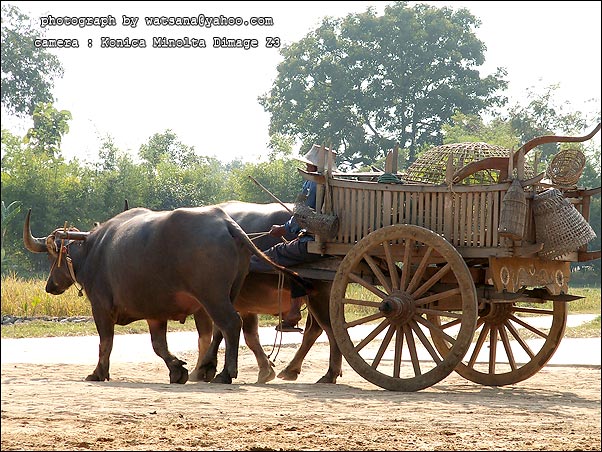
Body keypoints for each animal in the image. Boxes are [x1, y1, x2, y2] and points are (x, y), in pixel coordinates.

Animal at [22, 205, 304, 384]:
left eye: (52, 258)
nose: (49, 286)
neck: (93, 249)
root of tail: (227, 223)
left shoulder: (100, 307)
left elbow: (105, 342)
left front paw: (98, 373)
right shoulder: (154, 313)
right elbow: (159, 345)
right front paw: (177, 370)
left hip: (212, 296)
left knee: (231, 324)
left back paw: (225, 373)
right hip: (226, 294)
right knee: (223, 329)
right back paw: (210, 369)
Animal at [189, 201, 342, 384]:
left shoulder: (210, 303)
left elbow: (210, 335)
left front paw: (202, 370)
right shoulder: (243, 305)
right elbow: (249, 336)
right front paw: (266, 369)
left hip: (319, 294)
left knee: (331, 329)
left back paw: (330, 373)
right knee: (315, 329)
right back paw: (291, 368)